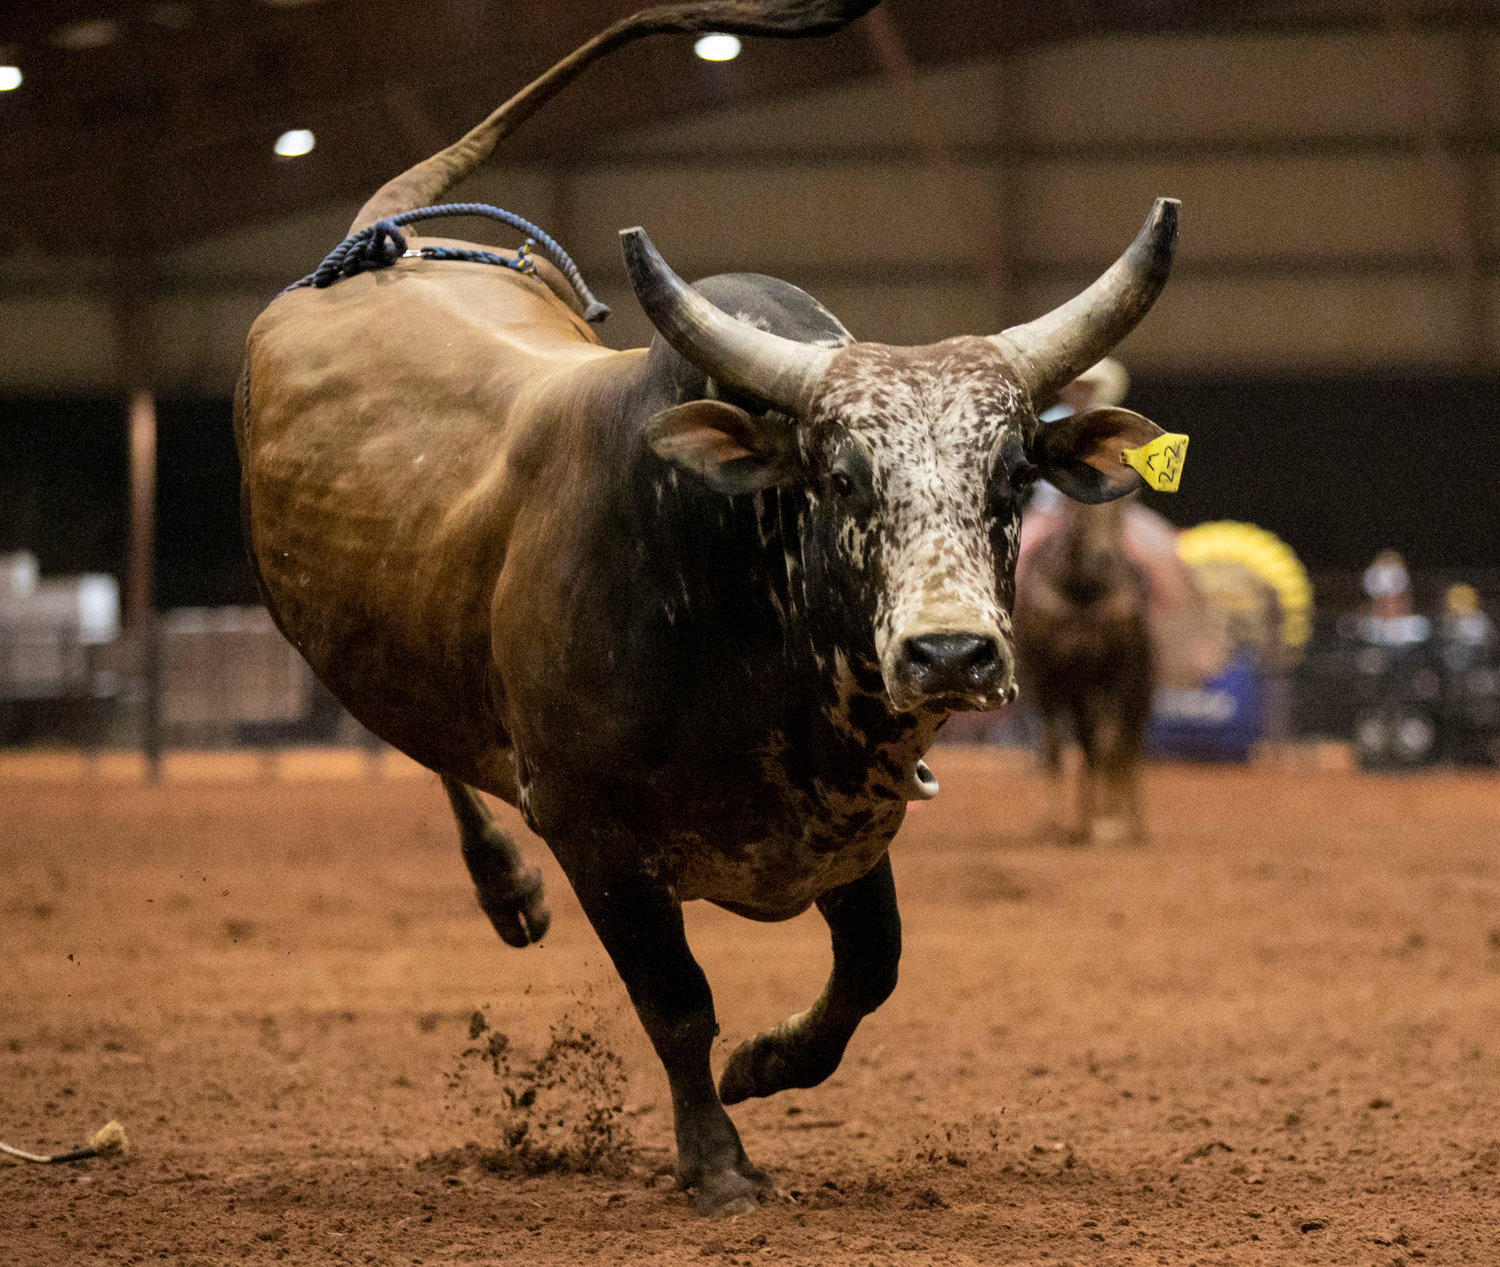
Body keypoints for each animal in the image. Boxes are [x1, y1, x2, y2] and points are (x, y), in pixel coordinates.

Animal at [237, 0, 1182, 1217]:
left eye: (1015, 473)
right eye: (839, 474)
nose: (951, 653)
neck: (738, 598)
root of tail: (376, 245)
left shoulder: (849, 814)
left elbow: (872, 965)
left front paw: (769, 1061)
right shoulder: (593, 830)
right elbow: (678, 1002)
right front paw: (718, 1160)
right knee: (427, 739)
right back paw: (507, 889)